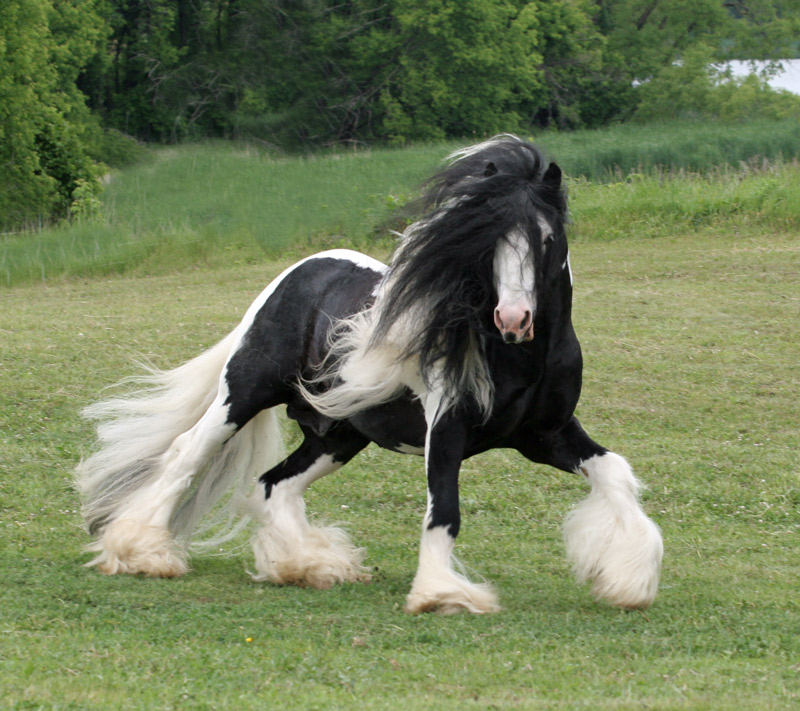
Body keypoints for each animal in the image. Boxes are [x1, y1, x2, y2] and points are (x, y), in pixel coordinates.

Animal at [76, 136, 664, 616]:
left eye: (544, 239)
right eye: (486, 241)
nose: (514, 319)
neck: (523, 359)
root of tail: (298, 273)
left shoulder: (546, 435)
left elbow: (615, 472)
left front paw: (628, 581)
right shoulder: (447, 431)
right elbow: (444, 510)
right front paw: (441, 595)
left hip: (338, 435)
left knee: (274, 485)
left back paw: (308, 565)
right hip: (242, 395)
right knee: (185, 457)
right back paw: (142, 553)